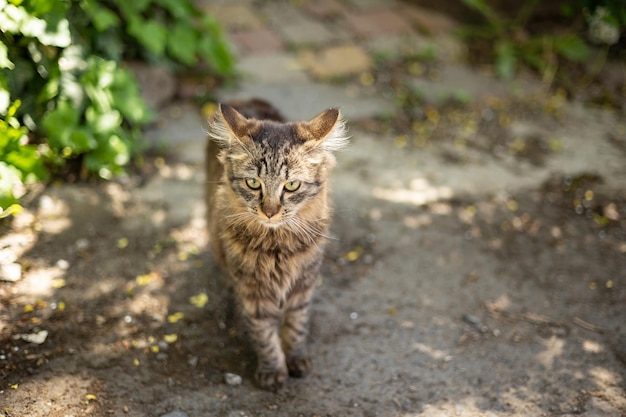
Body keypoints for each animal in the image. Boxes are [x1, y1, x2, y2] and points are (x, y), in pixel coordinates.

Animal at [204, 99, 346, 388]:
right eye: (253, 183)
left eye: (291, 185)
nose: (269, 212)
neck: (277, 246)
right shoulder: (253, 292)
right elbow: (264, 336)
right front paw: (272, 371)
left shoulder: (303, 285)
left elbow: (296, 327)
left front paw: (296, 359)